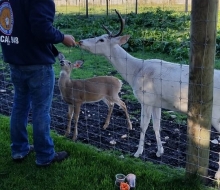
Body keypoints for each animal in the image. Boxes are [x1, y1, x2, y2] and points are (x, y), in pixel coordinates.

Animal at [78, 9, 220, 179]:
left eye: (101, 39)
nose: (80, 42)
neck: (135, 72)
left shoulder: (145, 98)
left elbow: (143, 126)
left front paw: (137, 152)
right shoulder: (156, 102)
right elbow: (157, 126)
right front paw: (159, 152)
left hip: (216, 114)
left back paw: (217, 176)